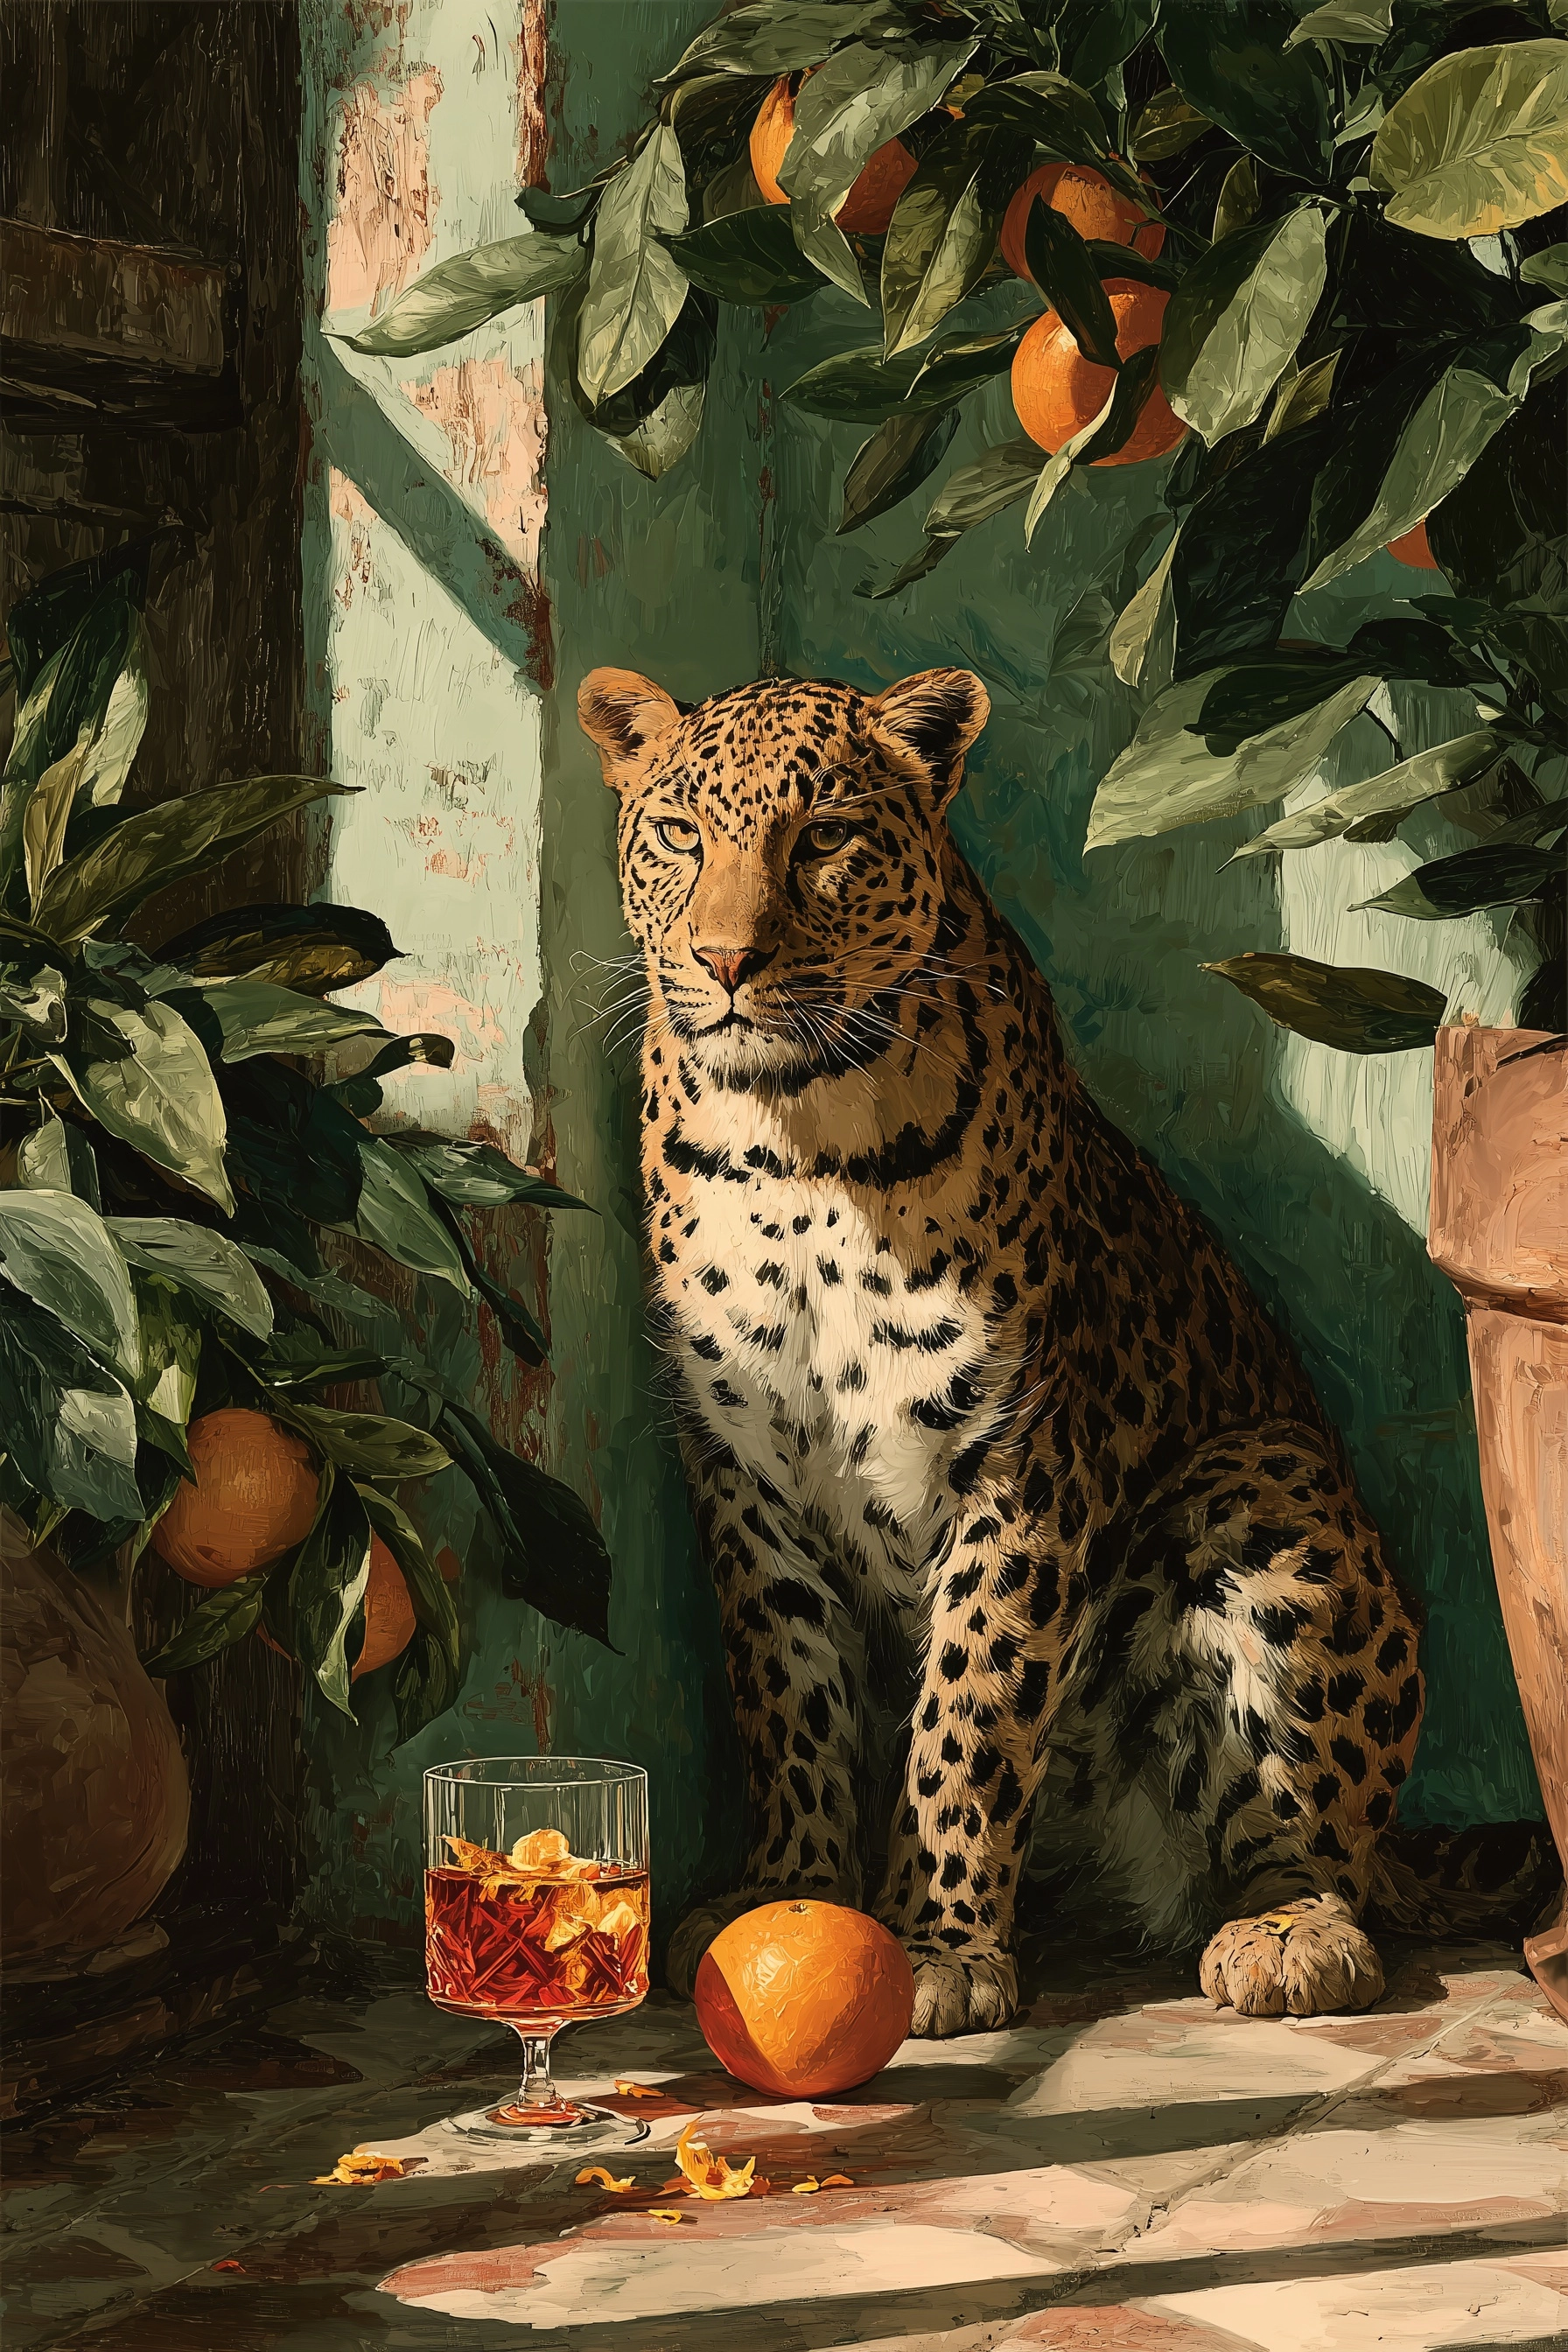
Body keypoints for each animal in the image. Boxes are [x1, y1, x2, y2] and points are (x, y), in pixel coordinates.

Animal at [578, 660, 1524, 2035]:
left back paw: (1287, 1936)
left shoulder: (1021, 1460)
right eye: (679, 835)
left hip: (1258, 1491)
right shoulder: (741, 1467)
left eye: (824, 839)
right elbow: (787, 1694)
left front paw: (936, 1945)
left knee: (1309, 1844)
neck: (793, 1139)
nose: (726, 959)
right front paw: (790, 1898)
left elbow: (969, 1710)